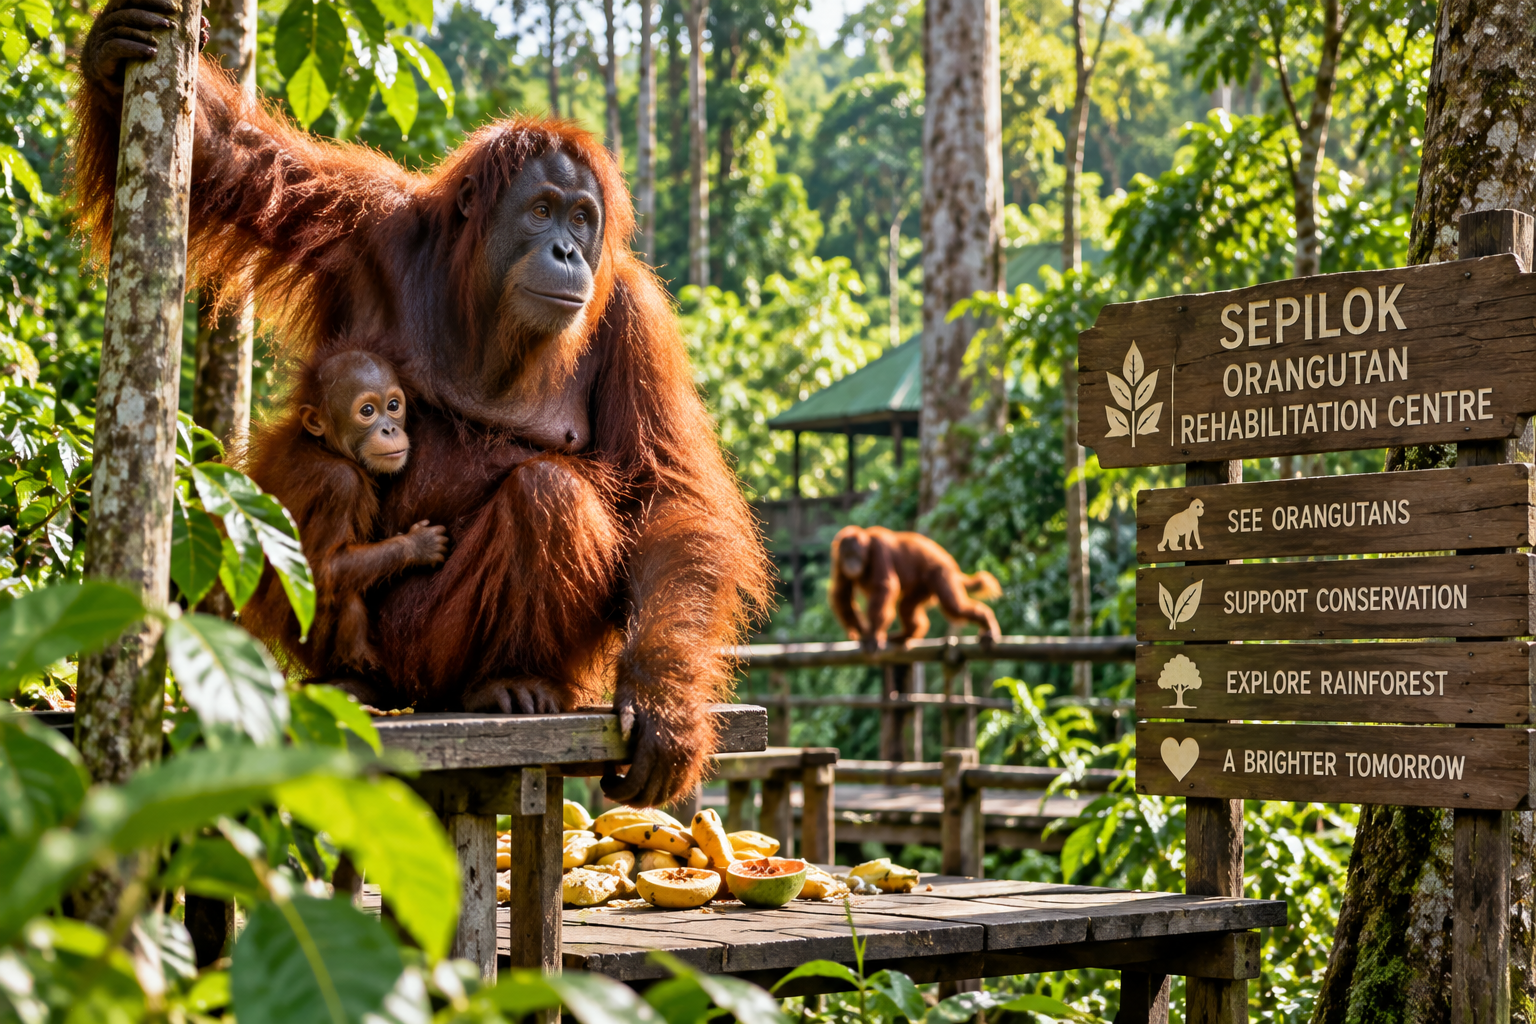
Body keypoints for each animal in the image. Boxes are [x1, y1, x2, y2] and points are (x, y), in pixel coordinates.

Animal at [829, 525, 1002, 653]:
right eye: (847, 555)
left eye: (855, 555)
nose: (851, 564)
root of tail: (952, 565)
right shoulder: (837, 559)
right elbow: (842, 592)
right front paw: (860, 632)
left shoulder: (879, 549)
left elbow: (885, 586)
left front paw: (873, 634)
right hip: (924, 586)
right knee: (906, 606)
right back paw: (907, 634)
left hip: (941, 572)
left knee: (954, 607)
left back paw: (987, 622)